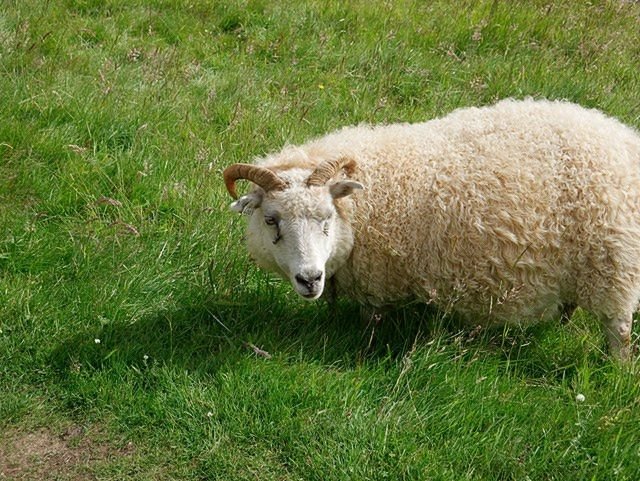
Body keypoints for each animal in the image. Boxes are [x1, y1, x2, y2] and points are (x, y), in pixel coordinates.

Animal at [222, 97, 640, 358]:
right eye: (271, 220)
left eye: (327, 218)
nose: (310, 279)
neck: (365, 205)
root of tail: (625, 139)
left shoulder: (379, 281)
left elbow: (371, 320)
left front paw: (366, 342)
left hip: (614, 268)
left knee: (618, 330)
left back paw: (614, 370)